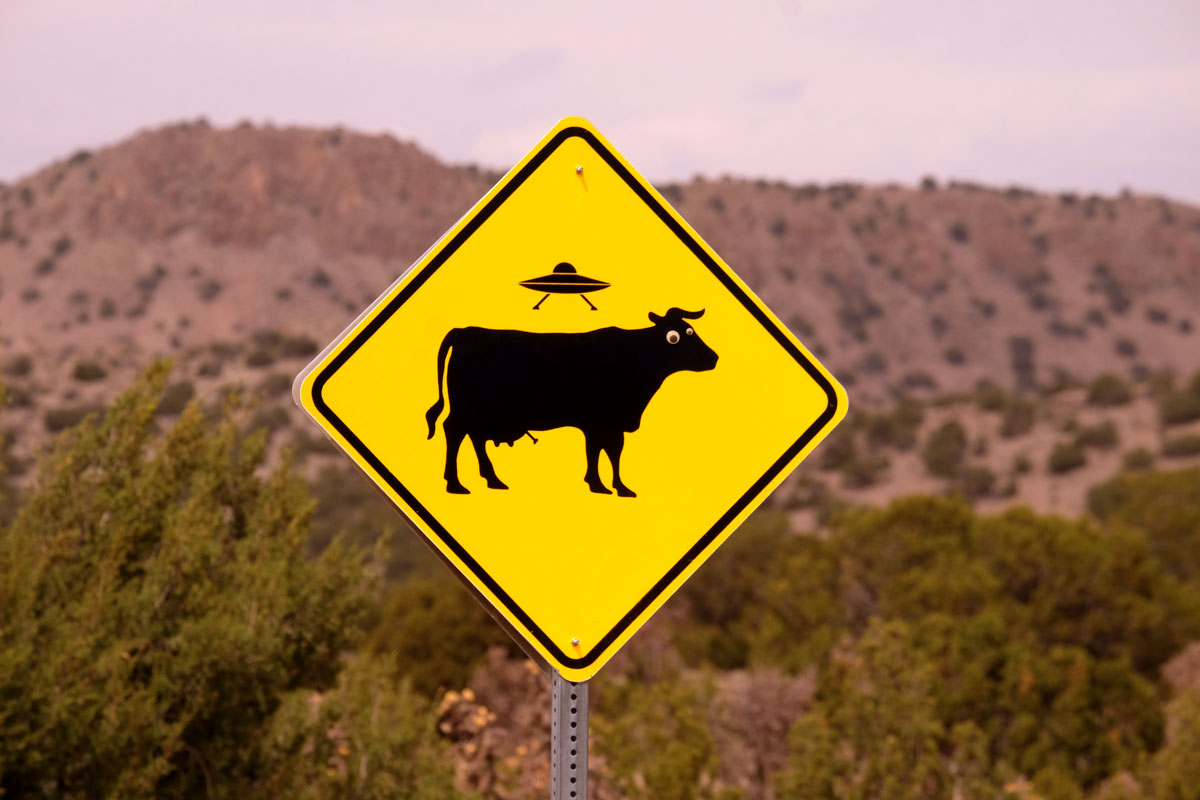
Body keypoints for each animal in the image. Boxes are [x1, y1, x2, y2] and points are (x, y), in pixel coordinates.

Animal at [425, 308, 718, 496]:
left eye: (692, 331)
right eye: (674, 337)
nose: (713, 357)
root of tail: (465, 331)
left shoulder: (605, 423)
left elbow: (604, 452)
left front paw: (609, 486)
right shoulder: (603, 421)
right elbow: (604, 451)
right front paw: (607, 486)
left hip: (481, 412)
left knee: (474, 437)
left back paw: (493, 479)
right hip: (467, 408)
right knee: (454, 431)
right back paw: (455, 484)